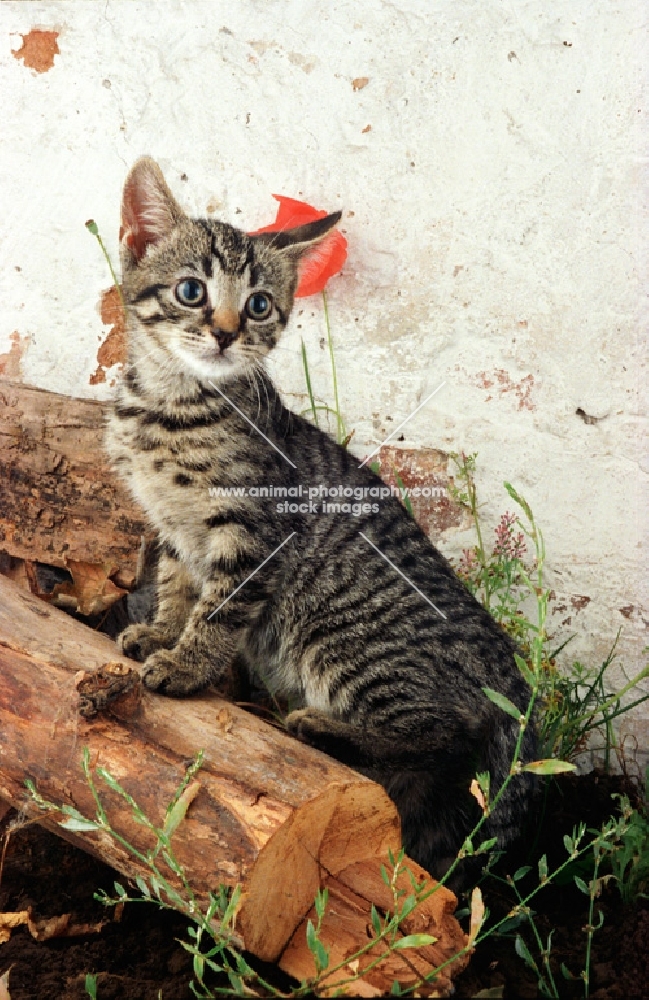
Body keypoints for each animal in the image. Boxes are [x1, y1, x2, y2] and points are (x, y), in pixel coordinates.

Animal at [107, 160, 536, 888]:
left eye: (257, 305)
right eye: (192, 291)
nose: (226, 333)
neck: (172, 406)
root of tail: (506, 668)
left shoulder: (253, 531)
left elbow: (218, 609)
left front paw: (188, 665)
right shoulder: (171, 526)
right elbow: (176, 584)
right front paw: (162, 630)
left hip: (347, 640)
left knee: (440, 736)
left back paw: (317, 727)